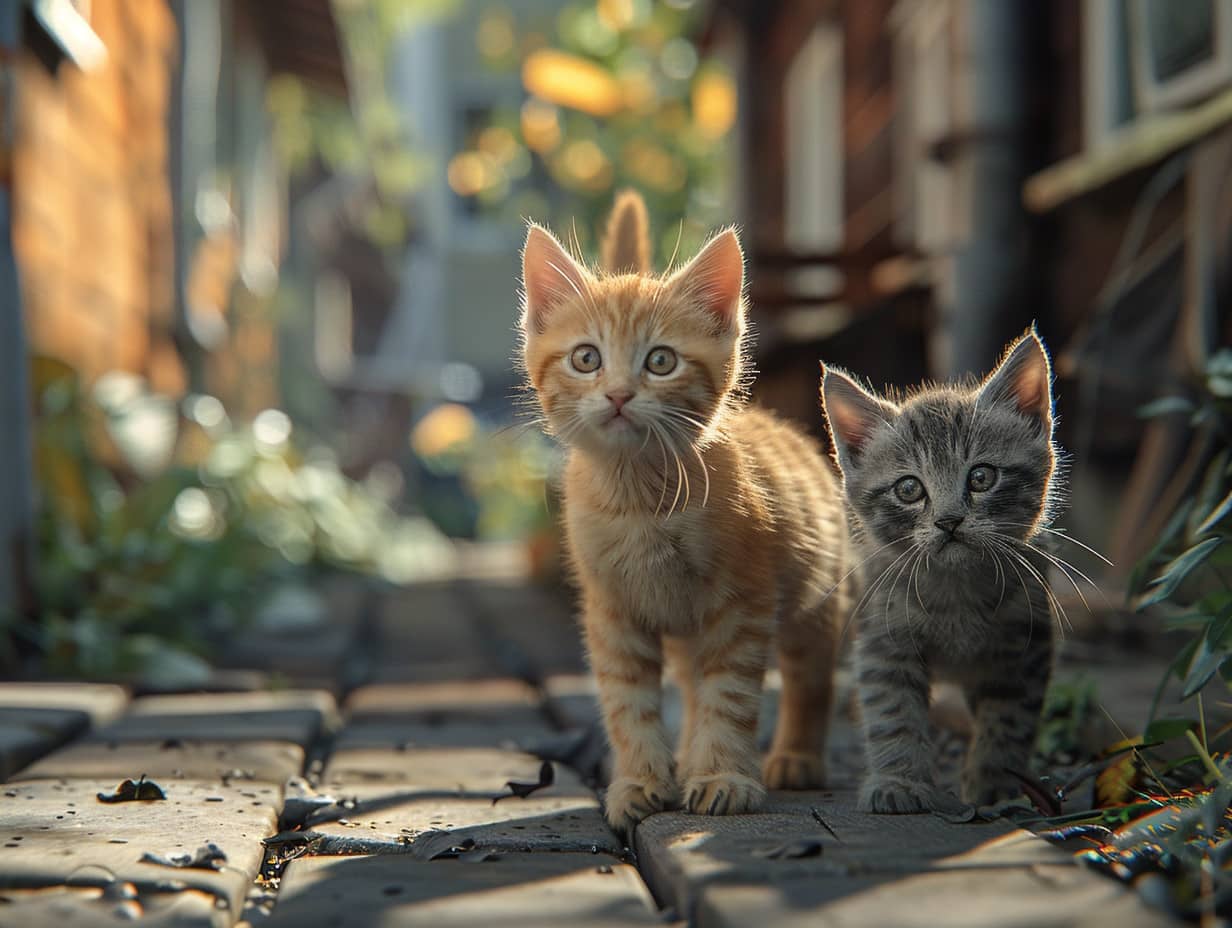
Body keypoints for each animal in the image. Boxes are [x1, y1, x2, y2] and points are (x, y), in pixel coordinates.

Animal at [514, 195, 852, 833]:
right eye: (586, 358)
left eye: (661, 361)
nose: (619, 394)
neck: (641, 502)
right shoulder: (613, 611)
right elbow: (629, 702)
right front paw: (642, 781)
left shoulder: (742, 604)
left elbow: (731, 697)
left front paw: (723, 777)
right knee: (693, 689)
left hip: (815, 598)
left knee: (808, 676)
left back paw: (795, 756)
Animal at [818, 330, 1059, 808]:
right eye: (909, 489)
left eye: (982, 477)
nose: (949, 520)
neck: (956, 594)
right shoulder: (883, 636)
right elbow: (893, 710)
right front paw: (899, 781)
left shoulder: (1026, 644)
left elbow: (1008, 719)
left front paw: (993, 785)